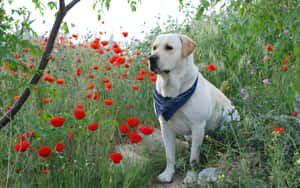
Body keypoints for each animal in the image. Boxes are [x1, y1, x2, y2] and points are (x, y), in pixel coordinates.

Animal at [148, 33, 239, 184]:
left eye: (169, 47)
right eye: (154, 47)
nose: (151, 58)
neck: (172, 93)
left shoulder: (197, 126)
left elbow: (193, 158)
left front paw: (191, 176)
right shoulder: (165, 126)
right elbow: (169, 155)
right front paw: (168, 173)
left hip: (227, 120)